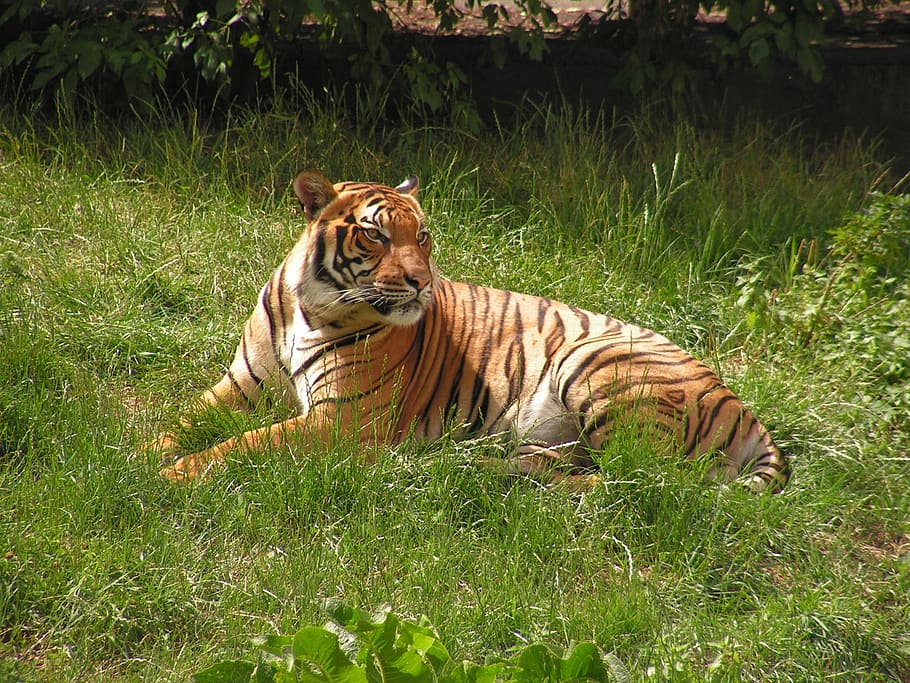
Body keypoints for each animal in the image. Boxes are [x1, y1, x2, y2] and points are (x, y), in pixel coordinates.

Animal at [150, 170, 789, 493]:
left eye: (423, 235)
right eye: (376, 235)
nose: (421, 282)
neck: (312, 305)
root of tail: (741, 405)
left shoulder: (340, 420)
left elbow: (243, 445)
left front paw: (171, 475)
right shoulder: (241, 385)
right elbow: (180, 420)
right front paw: (140, 452)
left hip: (596, 364)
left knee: (629, 481)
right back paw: (467, 465)